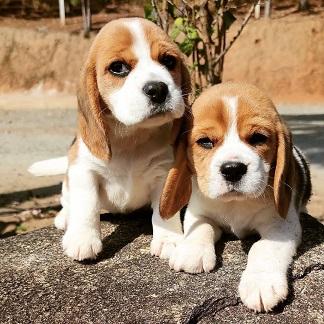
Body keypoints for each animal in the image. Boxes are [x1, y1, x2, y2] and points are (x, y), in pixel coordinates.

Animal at [29, 17, 191, 260]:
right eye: (118, 68)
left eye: (168, 60)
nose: (158, 89)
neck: (131, 136)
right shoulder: (83, 169)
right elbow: (86, 205)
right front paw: (83, 238)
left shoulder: (163, 171)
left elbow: (164, 210)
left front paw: (168, 239)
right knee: (68, 202)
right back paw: (64, 218)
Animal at [159, 82, 312, 312]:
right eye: (205, 142)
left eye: (258, 138)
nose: (232, 169)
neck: (234, 204)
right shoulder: (198, 212)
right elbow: (201, 227)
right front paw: (191, 252)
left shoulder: (282, 225)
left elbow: (263, 247)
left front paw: (261, 283)